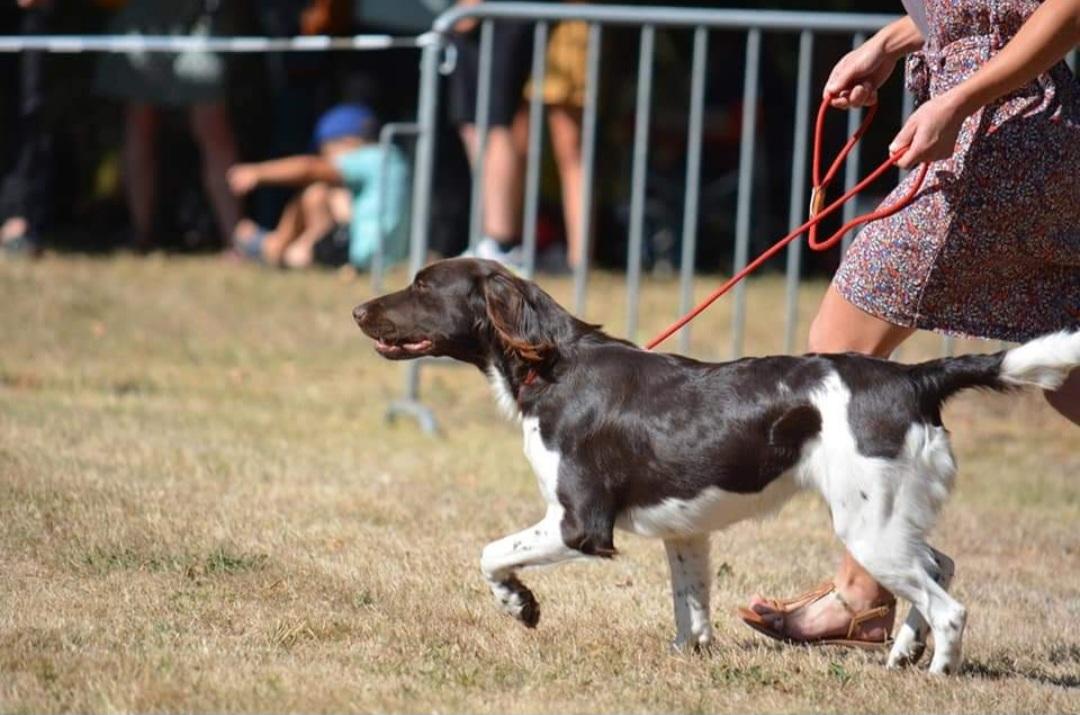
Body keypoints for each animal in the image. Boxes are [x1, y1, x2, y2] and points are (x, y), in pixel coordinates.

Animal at [356, 259, 1080, 678]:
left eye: (423, 285)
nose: (359, 309)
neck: (553, 366)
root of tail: (914, 377)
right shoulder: (685, 530)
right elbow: (691, 605)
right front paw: (691, 657)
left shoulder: (579, 521)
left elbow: (490, 553)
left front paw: (520, 605)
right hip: (891, 519)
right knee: (940, 566)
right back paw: (903, 651)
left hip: (869, 528)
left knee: (950, 605)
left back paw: (937, 674)